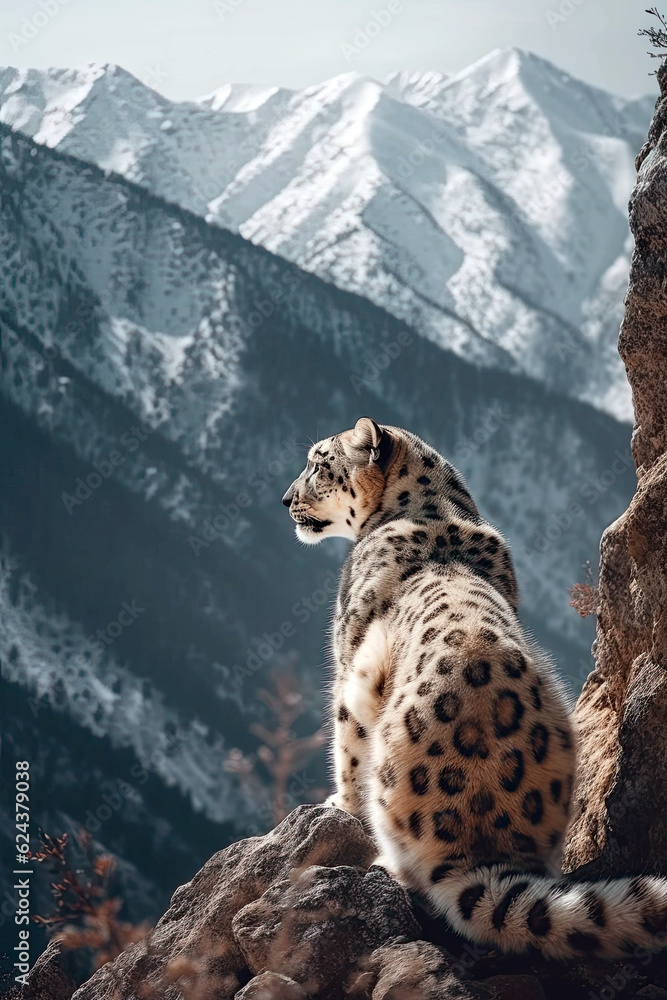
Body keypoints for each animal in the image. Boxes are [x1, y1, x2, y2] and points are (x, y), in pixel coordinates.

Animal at [282, 418, 667, 956]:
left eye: (319, 462)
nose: (285, 499)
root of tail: (481, 843)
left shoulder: (349, 662)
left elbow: (346, 748)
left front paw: (339, 804)